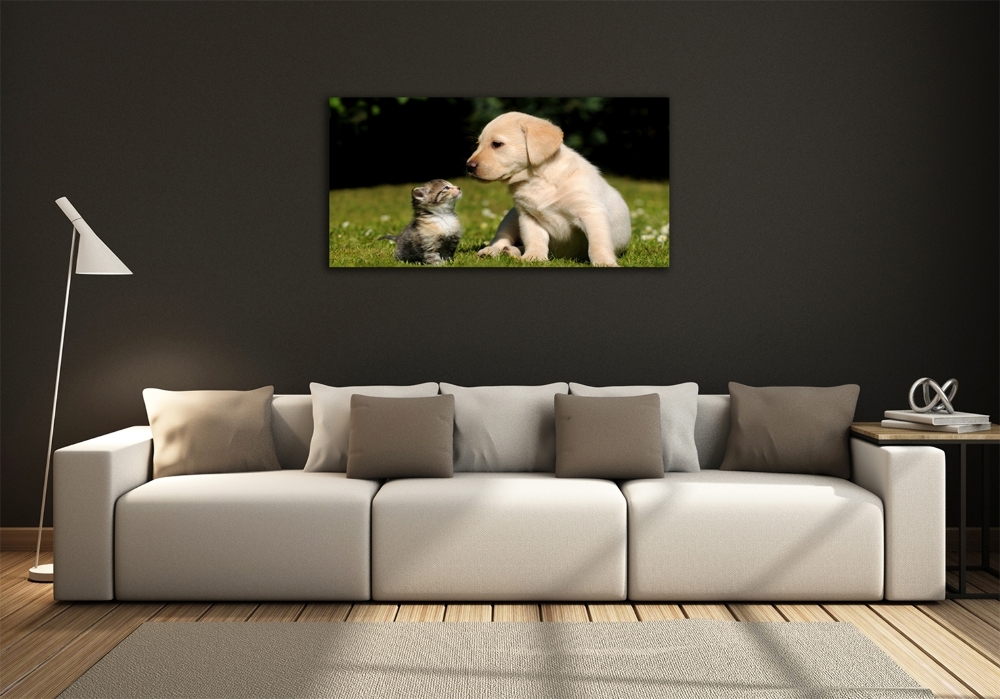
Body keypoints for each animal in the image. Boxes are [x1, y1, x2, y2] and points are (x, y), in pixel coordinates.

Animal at [464, 110, 628, 266]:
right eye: (478, 143)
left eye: (497, 144)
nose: (469, 167)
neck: (537, 179)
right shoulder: (528, 216)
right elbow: (535, 239)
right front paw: (534, 257)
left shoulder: (591, 213)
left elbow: (598, 244)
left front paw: (604, 262)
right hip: (510, 217)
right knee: (501, 238)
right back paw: (493, 251)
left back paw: (510, 251)